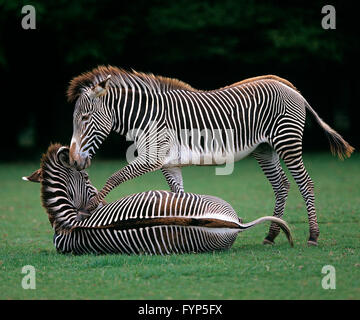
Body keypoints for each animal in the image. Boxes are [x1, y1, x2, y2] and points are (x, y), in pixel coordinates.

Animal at [66, 64, 352, 245]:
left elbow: (114, 177)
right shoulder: (169, 164)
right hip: (265, 149)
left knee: (306, 184)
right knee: (281, 185)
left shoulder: (153, 157)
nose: (73, 161)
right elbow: (178, 197)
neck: (146, 117)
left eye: (85, 118)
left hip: (287, 141)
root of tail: (288, 86)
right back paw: (271, 236)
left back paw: (313, 236)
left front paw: (87, 211)